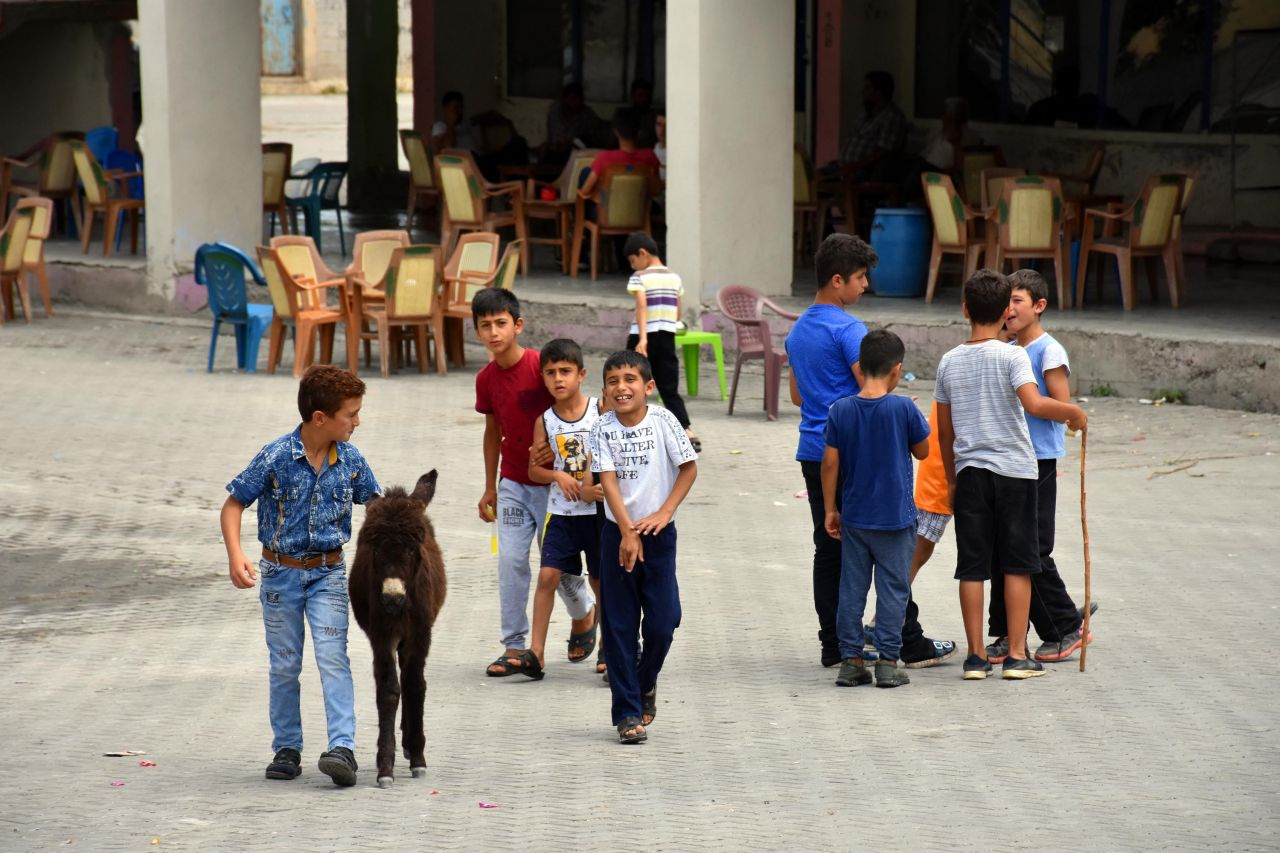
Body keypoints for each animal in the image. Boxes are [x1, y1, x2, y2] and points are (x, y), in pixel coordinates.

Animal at [348, 468, 448, 788]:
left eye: (414, 547)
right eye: (374, 547)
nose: (392, 598)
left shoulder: (420, 633)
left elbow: (415, 685)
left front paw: (417, 757)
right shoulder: (381, 635)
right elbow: (389, 690)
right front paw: (385, 767)